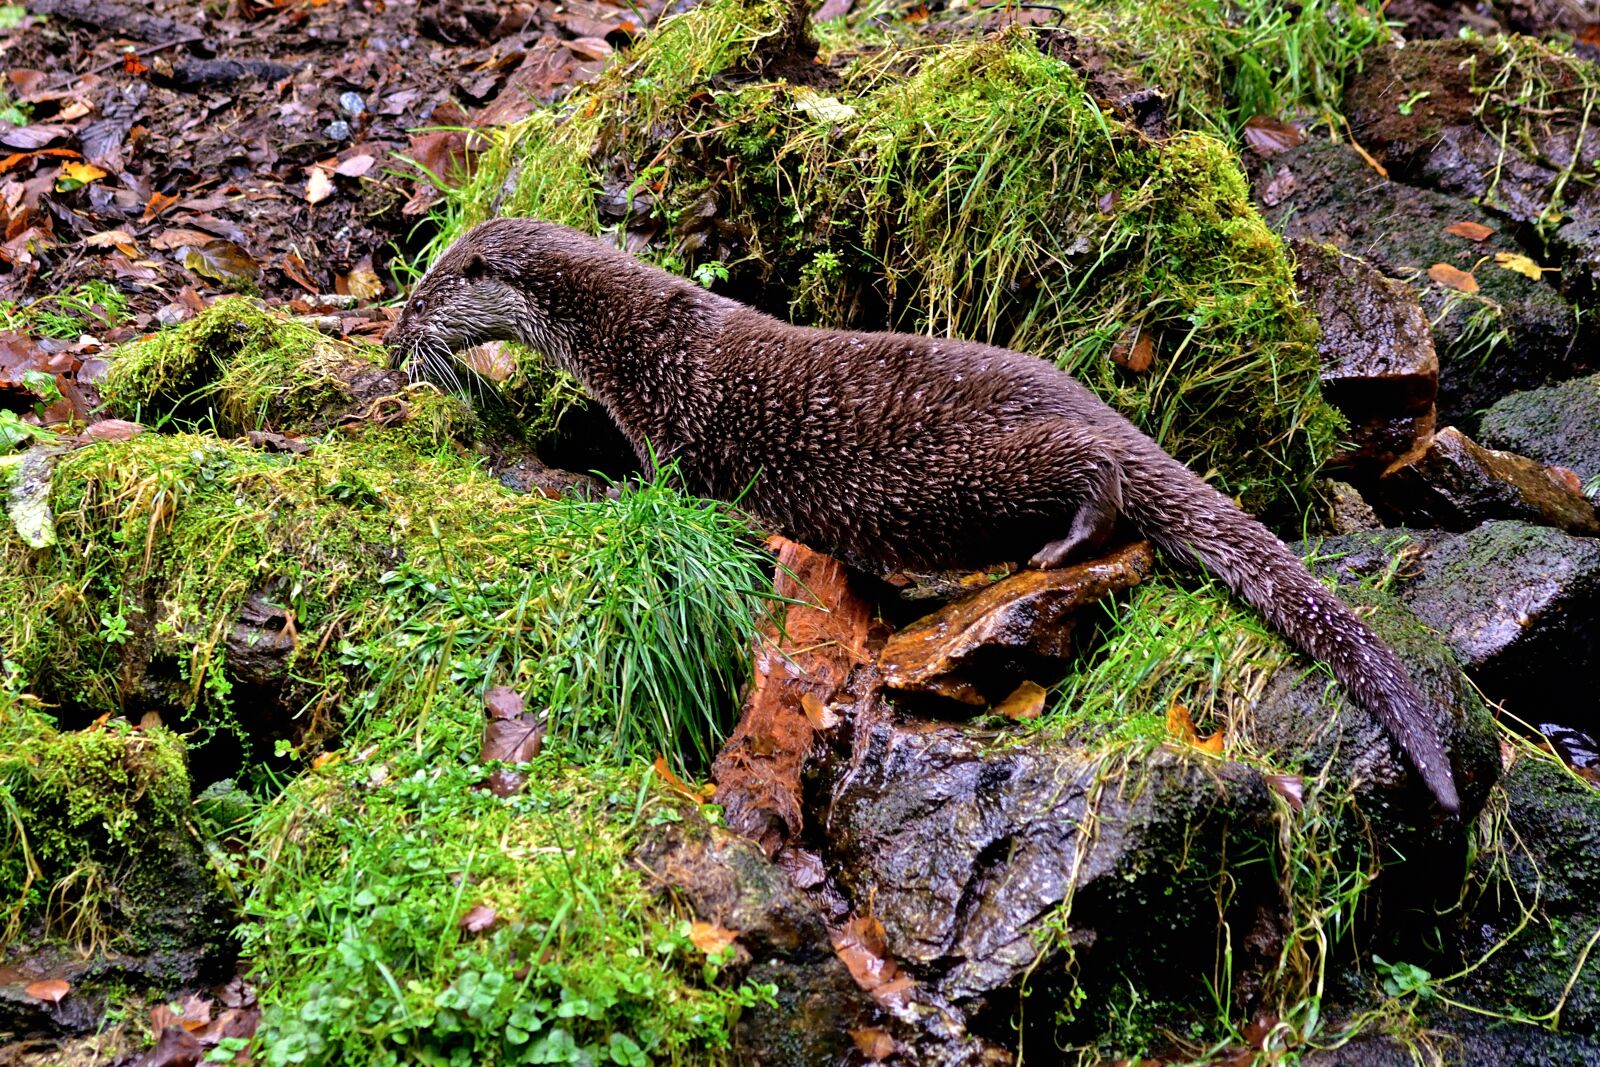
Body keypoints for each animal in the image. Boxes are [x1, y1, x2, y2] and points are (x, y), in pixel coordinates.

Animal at [387, 217, 1461, 814]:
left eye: (423, 293)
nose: (394, 335)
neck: (633, 339)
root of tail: (1088, 398)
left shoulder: (675, 428)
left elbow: (665, 497)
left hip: (989, 464)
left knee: (1102, 481)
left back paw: (1060, 547)